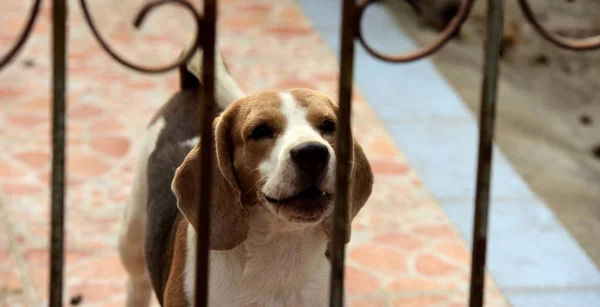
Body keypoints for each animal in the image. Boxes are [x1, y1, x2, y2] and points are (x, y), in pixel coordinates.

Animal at [118, 51, 372, 307]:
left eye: (329, 126)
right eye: (260, 131)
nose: (312, 153)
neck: (281, 251)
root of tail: (192, 88)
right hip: (132, 237)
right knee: (137, 282)